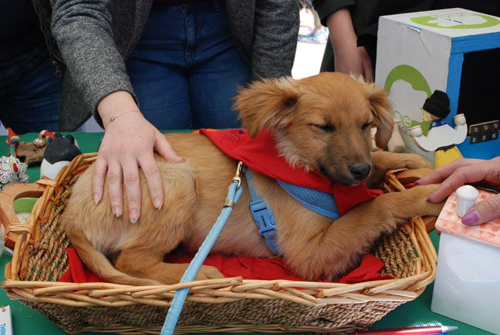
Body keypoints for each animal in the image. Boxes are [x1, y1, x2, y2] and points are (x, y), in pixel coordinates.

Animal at [61, 73, 442, 286]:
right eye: (323, 127)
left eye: (366, 125)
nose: (359, 172)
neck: (298, 164)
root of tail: (71, 216)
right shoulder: (309, 253)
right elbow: (374, 207)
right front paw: (428, 195)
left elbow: (381, 160)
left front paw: (417, 164)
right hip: (179, 179)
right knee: (131, 262)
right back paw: (199, 275)